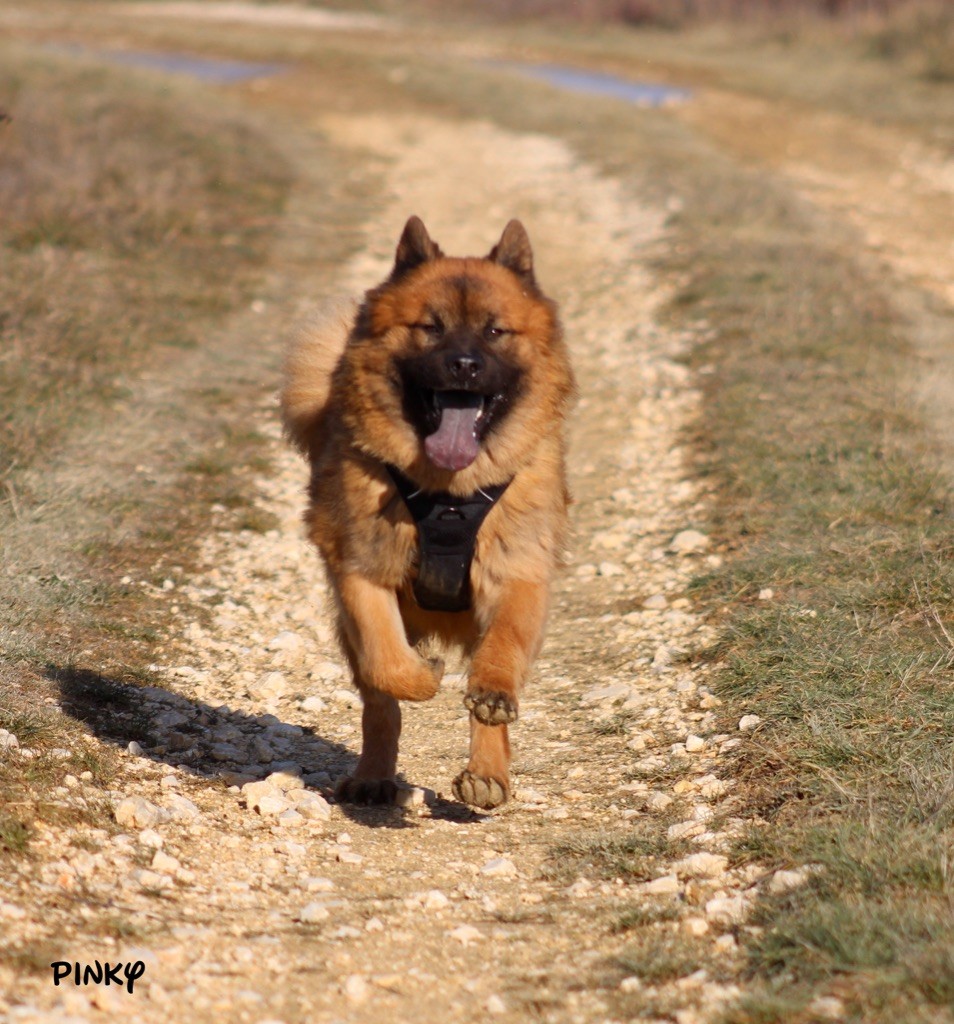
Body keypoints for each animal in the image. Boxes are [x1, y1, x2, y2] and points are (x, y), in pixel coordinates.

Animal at [280, 218, 577, 806]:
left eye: (494, 332)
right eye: (431, 328)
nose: (464, 365)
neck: (450, 493)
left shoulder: (517, 574)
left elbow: (503, 648)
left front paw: (491, 693)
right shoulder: (362, 574)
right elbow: (388, 665)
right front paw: (427, 675)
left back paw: (486, 772)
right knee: (378, 705)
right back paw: (374, 775)